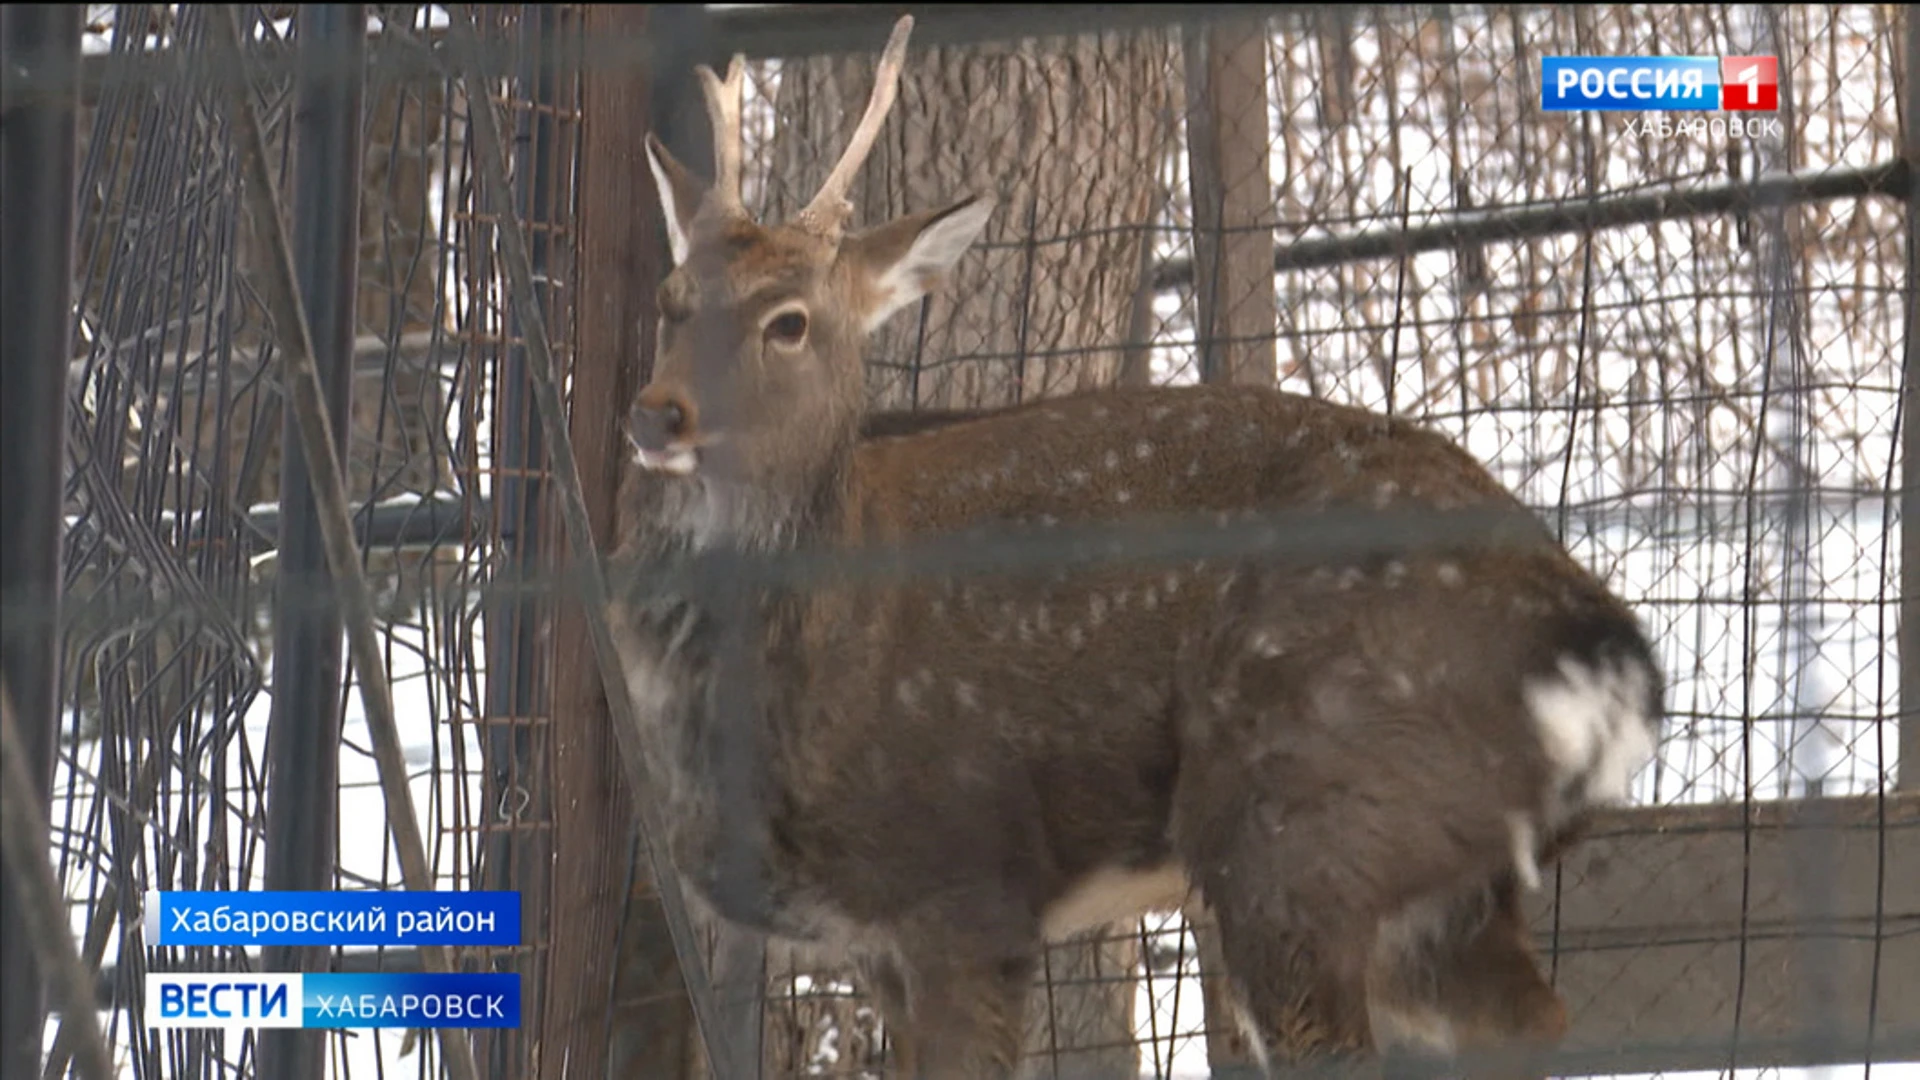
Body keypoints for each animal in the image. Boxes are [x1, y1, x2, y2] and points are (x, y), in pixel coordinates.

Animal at [606, 14, 1658, 1068]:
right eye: (671, 299)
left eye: (788, 321)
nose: (657, 415)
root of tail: (1609, 654)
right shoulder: (872, 938)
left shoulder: (962, 880)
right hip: (1439, 873)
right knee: (1535, 1017)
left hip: (1302, 821)